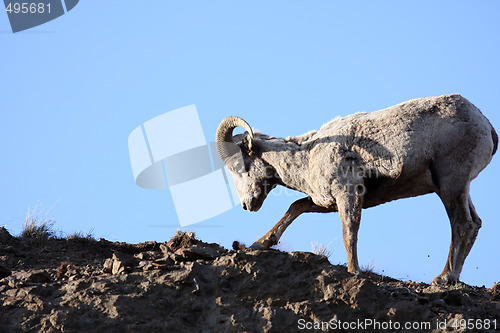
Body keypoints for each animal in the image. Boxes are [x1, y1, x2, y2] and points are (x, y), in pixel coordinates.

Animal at [217, 94, 498, 284]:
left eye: (239, 167)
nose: (247, 205)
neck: (307, 157)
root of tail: (486, 125)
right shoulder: (326, 202)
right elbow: (295, 206)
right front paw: (260, 243)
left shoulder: (348, 193)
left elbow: (349, 231)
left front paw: (354, 270)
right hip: (458, 187)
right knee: (475, 223)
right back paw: (452, 277)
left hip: (451, 184)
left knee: (462, 223)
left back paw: (444, 278)